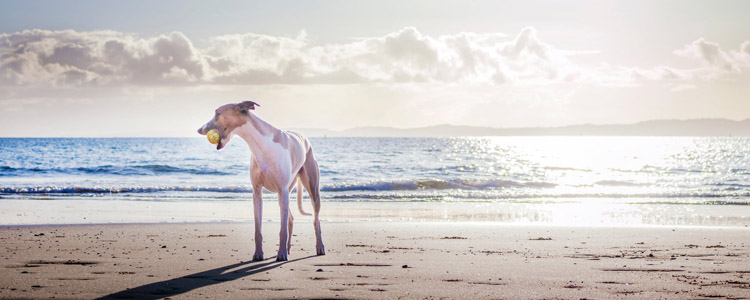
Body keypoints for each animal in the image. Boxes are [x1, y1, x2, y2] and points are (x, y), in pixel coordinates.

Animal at [200, 101, 326, 260]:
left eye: (217, 113)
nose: (199, 129)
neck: (261, 146)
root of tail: (303, 137)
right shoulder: (257, 192)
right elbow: (258, 229)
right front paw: (258, 254)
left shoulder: (282, 189)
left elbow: (282, 230)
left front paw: (281, 254)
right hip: (283, 195)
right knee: (290, 218)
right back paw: (288, 248)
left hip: (310, 189)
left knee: (316, 220)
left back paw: (319, 247)